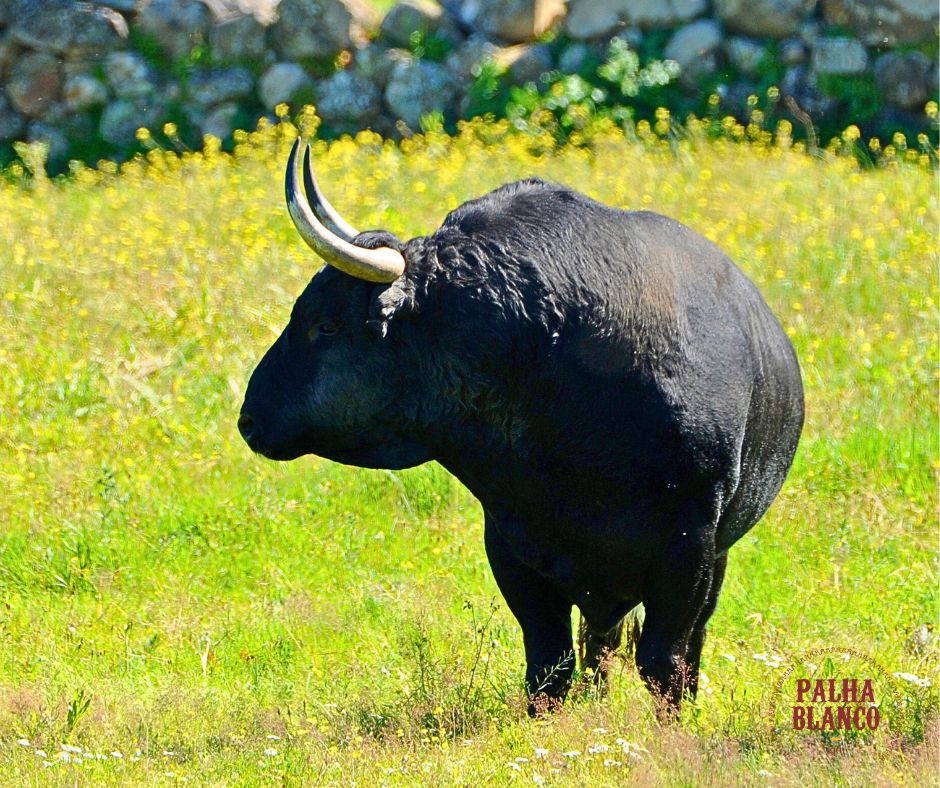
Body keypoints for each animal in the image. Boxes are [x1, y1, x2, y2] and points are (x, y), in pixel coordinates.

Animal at [239, 138, 804, 717]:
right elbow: (549, 665)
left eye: (327, 324)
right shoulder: (511, 543)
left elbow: (665, 662)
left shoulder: (690, 545)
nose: (250, 419)